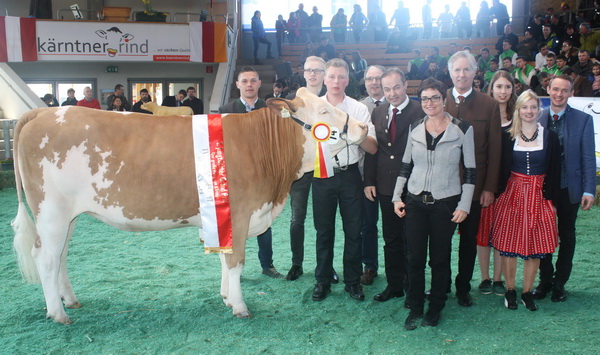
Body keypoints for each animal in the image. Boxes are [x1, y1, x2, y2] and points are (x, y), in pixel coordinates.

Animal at [11, 87, 368, 324]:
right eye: (324, 111)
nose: (364, 127)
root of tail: (45, 112)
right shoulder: (240, 212)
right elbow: (235, 261)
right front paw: (240, 306)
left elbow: (225, 260)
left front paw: (226, 298)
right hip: (51, 213)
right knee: (45, 257)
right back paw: (57, 313)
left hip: (67, 216)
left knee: (60, 256)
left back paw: (70, 300)